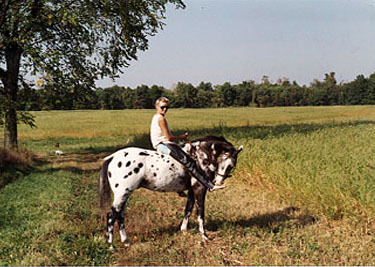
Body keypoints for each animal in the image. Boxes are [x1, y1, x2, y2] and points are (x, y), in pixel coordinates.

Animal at [98, 136, 244, 249]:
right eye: (228, 164)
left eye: (231, 166)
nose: (217, 183)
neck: (200, 157)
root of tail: (112, 157)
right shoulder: (199, 189)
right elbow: (200, 212)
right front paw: (204, 236)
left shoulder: (191, 191)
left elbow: (188, 209)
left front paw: (184, 230)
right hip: (122, 194)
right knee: (112, 215)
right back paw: (111, 245)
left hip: (124, 195)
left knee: (120, 215)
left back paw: (126, 241)